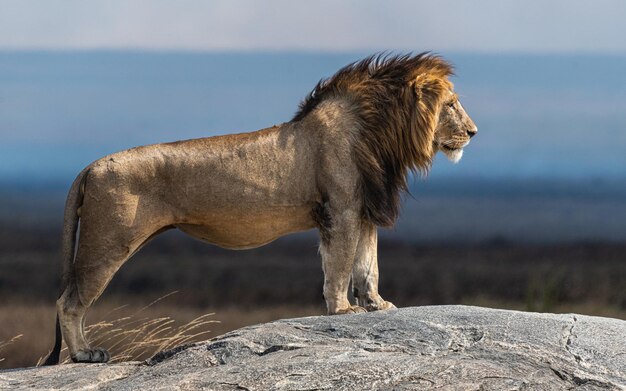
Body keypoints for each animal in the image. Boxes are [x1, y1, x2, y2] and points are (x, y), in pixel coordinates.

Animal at [42, 51, 472, 364]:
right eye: (451, 104)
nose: (473, 131)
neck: (384, 133)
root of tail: (90, 166)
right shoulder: (341, 210)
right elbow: (339, 267)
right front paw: (342, 311)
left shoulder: (364, 209)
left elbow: (368, 266)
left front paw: (377, 306)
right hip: (107, 243)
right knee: (69, 301)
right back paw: (84, 354)